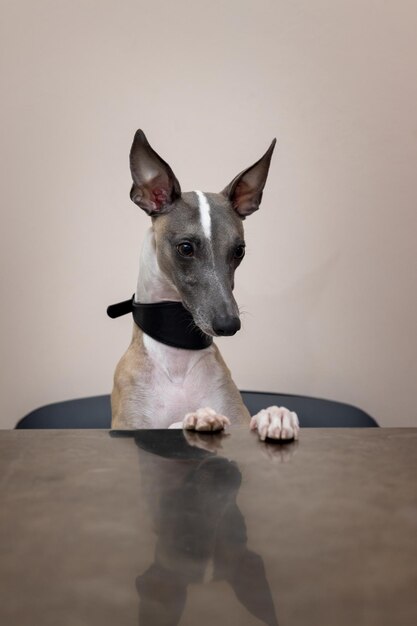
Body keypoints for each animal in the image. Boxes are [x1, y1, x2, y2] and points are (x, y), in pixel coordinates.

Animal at [109, 128, 300, 438]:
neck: (178, 362)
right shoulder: (129, 425)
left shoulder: (234, 410)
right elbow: (169, 425)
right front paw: (198, 417)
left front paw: (275, 416)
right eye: (185, 248)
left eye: (239, 250)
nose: (228, 325)